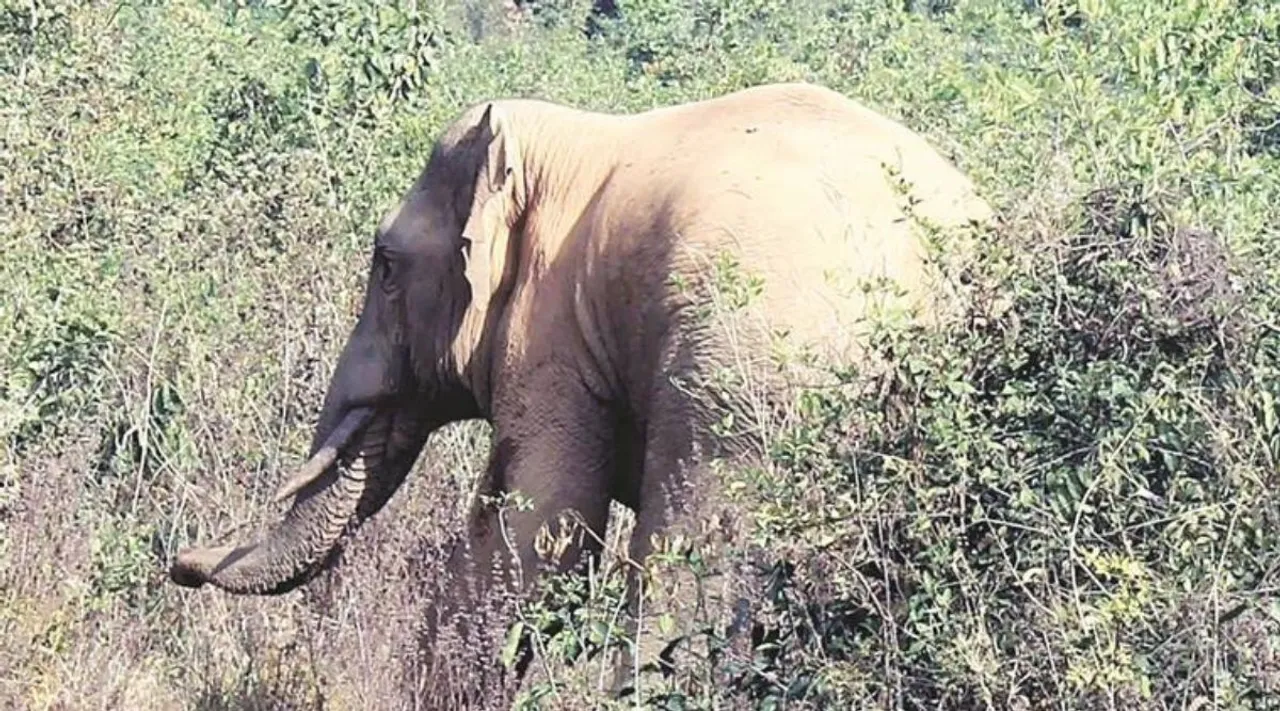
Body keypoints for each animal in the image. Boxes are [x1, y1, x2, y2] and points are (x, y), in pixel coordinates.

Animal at [168, 81, 991, 703]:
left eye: (386, 265)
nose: (180, 559)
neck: (559, 142)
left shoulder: (551, 336)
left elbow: (540, 524)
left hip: (743, 378)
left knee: (686, 557)